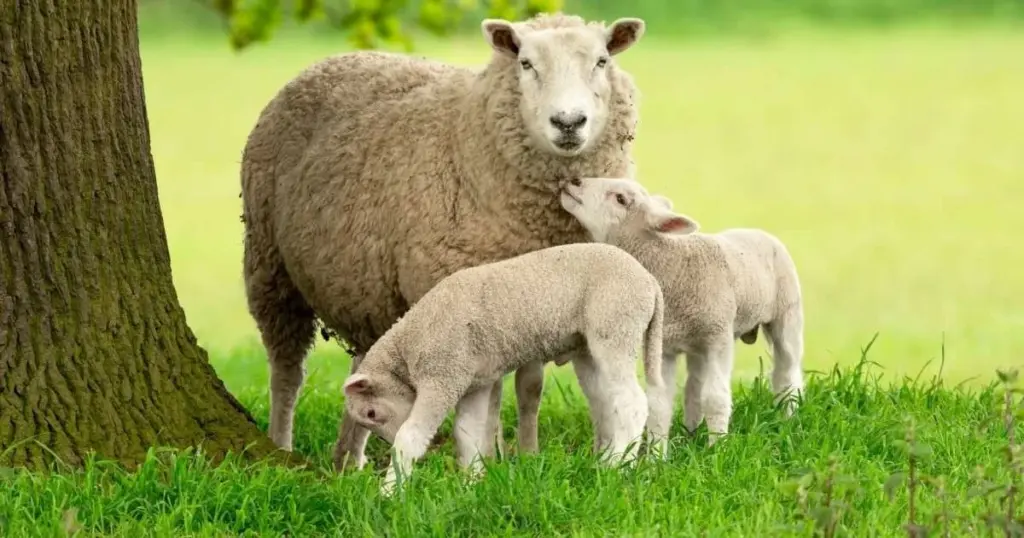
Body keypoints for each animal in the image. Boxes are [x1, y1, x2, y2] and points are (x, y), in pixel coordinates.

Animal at [239, 12, 648, 469]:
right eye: (525, 63)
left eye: (601, 60)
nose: (568, 123)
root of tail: (332, 59)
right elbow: (491, 395)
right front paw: (490, 456)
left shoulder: (537, 302)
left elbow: (530, 386)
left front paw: (525, 454)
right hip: (268, 266)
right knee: (287, 370)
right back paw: (281, 444)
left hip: (367, 290)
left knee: (361, 366)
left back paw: (348, 461)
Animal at [340, 242, 667, 495]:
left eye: (371, 413)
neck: (410, 341)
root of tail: (650, 283)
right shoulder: (474, 382)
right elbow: (467, 434)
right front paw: (470, 486)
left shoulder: (441, 377)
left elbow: (410, 437)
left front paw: (389, 492)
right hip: (590, 347)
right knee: (616, 403)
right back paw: (612, 462)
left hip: (615, 327)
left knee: (632, 403)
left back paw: (618, 467)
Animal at [558, 176, 805, 456]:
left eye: (621, 199)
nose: (574, 180)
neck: (672, 265)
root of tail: (757, 231)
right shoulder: (663, 346)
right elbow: (660, 404)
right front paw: (656, 457)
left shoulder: (719, 338)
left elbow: (715, 397)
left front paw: (718, 450)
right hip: (696, 343)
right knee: (694, 388)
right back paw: (692, 433)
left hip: (787, 313)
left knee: (787, 371)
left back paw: (789, 418)